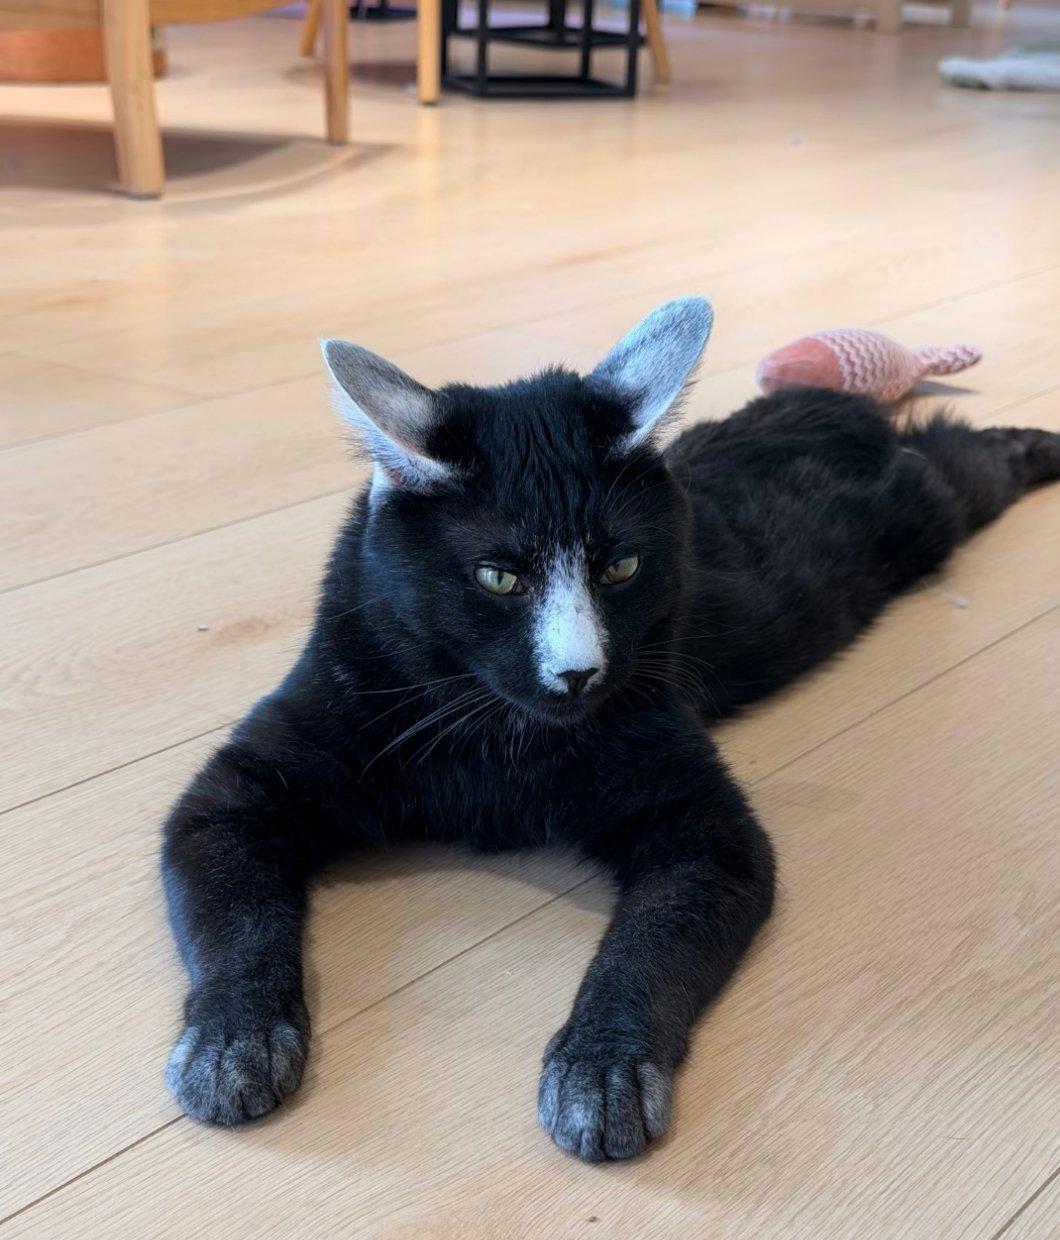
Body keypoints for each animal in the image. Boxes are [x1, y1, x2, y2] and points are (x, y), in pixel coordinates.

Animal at [162, 298, 1060, 1162]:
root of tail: (834, 407)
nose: (579, 674)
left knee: (964, 455)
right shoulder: (242, 787)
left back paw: (1039, 443)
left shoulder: (704, 826)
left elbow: (650, 942)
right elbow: (240, 913)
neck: (499, 733)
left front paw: (604, 1071)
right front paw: (232, 1043)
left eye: (621, 567)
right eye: (496, 577)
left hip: (928, 510)